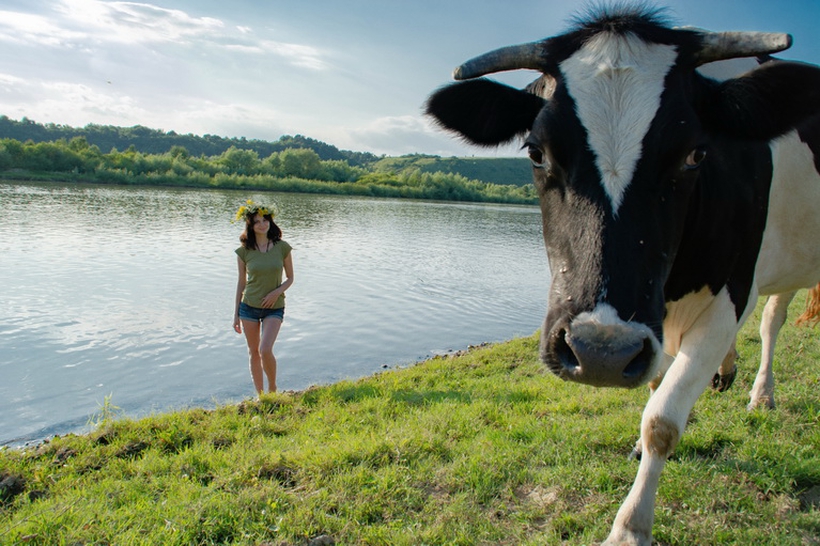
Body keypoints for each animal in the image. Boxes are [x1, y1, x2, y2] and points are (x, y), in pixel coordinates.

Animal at [426, 5, 816, 544]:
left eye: (696, 153)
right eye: (535, 152)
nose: (600, 353)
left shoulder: (732, 293)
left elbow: (662, 421)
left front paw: (630, 527)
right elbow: (656, 386)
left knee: (771, 321)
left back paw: (761, 394)